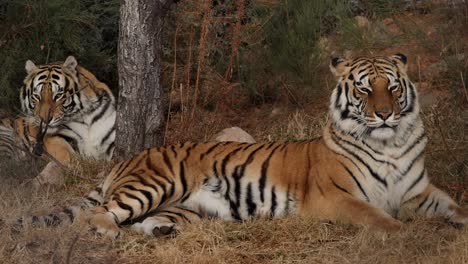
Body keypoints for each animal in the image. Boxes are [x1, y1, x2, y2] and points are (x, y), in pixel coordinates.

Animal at [15, 53, 468, 237]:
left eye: (391, 86)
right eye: (363, 88)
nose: (385, 114)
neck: (390, 143)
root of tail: (131, 158)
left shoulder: (417, 191)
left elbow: (454, 206)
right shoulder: (337, 198)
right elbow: (380, 218)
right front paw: (407, 234)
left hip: (186, 207)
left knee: (145, 221)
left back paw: (161, 229)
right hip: (152, 185)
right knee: (99, 215)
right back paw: (109, 232)